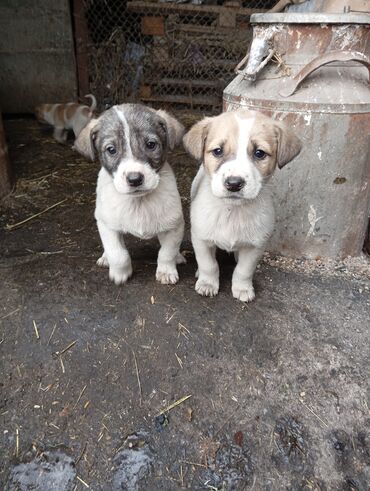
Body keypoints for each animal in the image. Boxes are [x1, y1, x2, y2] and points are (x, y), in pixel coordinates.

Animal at [74, 104, 186, 288]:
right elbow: (118, 254)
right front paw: (120, 274)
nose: (135, 179)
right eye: (111, 149)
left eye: (151, 144)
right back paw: (105, 258)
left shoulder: (174, 225)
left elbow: (166, 252)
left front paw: (166, 271)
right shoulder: (106, 225)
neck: (138, 202)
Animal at [184, 110, 302, 304]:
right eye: (217, 151)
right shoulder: (200, 238)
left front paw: (242, 289)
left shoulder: (256, 246)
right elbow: (209, 264)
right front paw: (208, 283)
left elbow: (243, 270)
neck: (233, 211)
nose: (234, 183)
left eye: (259, 153)